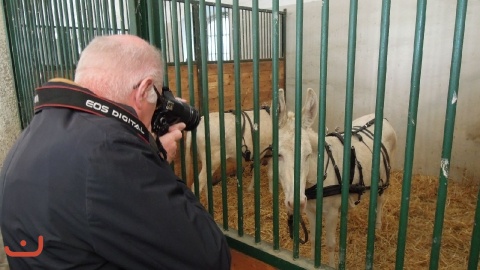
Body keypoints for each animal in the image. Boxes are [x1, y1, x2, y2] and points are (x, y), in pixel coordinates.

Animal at [276, 87, 396, 266]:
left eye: (307, 154)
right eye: (278, 155)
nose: (296, 202)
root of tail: (382, 118)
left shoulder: (331, 212)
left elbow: (331, 244)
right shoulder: (311, 210)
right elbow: (314, 240)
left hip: (382, 178)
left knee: (380, 200)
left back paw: (378, 226)